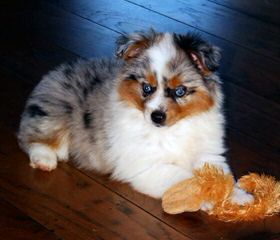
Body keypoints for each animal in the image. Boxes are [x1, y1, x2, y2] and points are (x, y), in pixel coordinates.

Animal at [18, 29, 254, 206]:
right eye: (147, 88)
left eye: (180, 91)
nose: (157, 117)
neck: (173, 130)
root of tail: (55, 72)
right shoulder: (145, 165)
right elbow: (184, 177)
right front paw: (206, 197)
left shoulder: (208, 153)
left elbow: (221, 177)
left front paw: (239, 197)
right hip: (54, 112)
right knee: (33, 138)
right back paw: (44, 160)